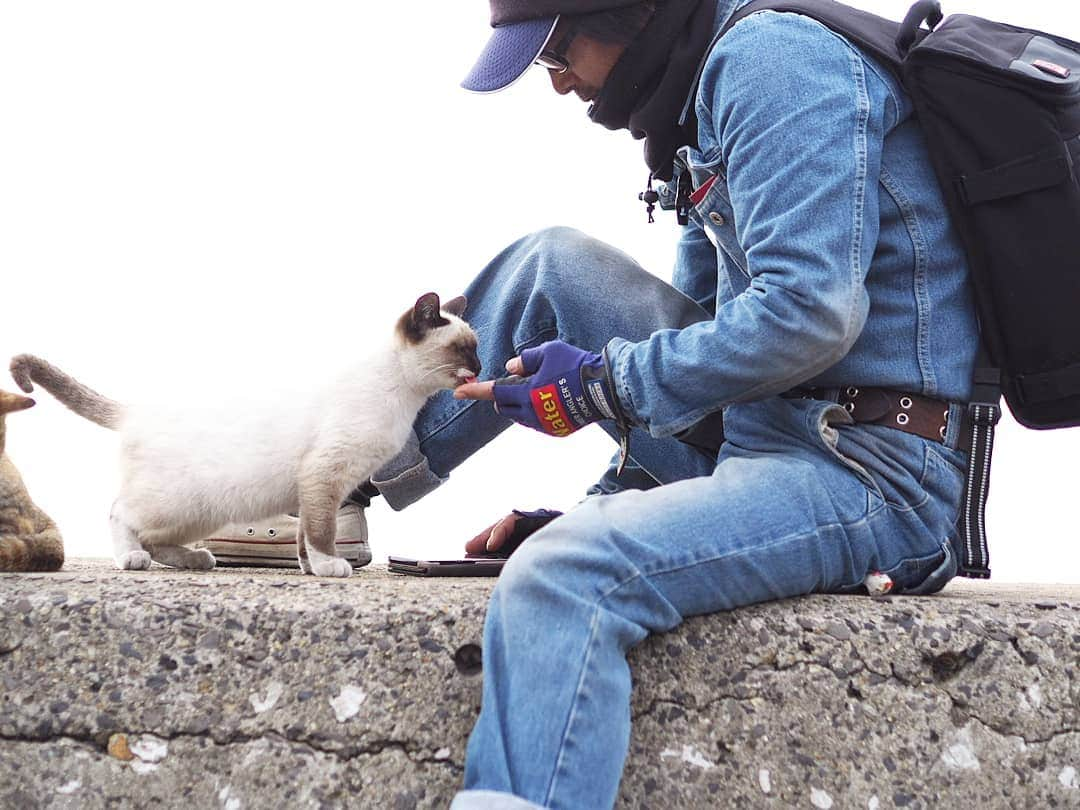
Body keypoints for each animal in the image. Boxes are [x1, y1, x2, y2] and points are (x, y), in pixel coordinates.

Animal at [10, 291, 479, 578]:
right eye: (462, 349)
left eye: (474, 348)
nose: (479, 367)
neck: (403, 398)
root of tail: (137, 411)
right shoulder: (325, 475)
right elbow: (321, 531)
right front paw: (330, 566)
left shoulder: (322, 484)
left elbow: (306, 535)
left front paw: (310, 568)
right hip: (174, 502)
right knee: (121, 515)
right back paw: (131, 558)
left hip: (200, 512)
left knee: (158, 539)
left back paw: (195, 559)